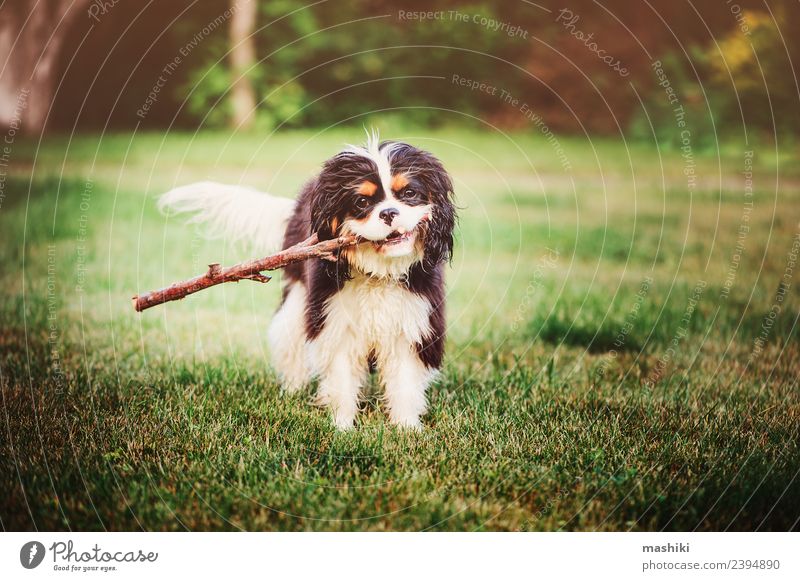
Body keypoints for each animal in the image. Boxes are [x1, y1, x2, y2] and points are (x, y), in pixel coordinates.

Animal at [159, 133, 454, 430]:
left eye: (409, 194)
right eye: (361, 202)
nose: (389, 213)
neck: (378, 273)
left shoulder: (412, 324)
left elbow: (404, 381)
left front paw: (406, 428)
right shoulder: (335, 323)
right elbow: (341, 379)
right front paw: (342, 426)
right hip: (296, 301)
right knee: (290, 344)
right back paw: (292, 391)